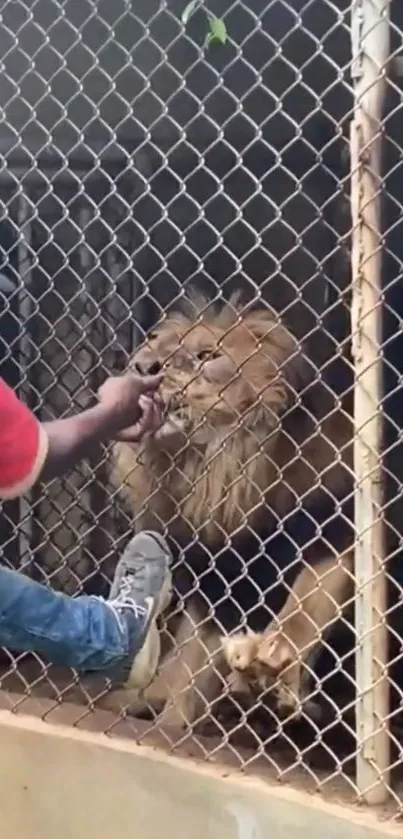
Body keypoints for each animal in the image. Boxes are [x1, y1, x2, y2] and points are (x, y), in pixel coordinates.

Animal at [109, 296, 356, 728]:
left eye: (206, 356)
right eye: (154, 348)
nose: (142, 367)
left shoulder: (335, 527)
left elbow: (309, 598)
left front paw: (275, 653)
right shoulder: (217, 570)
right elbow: (191, 658)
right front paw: (172, 722)